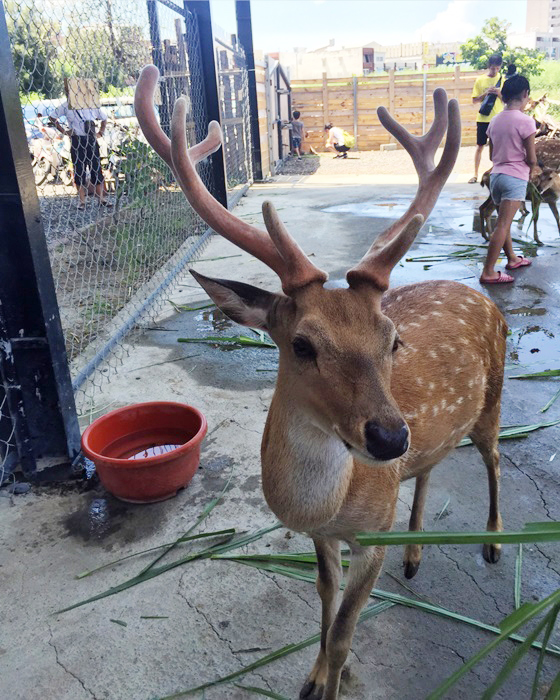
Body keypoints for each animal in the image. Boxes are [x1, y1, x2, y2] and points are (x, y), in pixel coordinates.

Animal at [136, 65, 508, 700]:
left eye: (392, 340)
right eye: (302, 345)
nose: (389, 438)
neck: (326, 506)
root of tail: (483, 299)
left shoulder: (371, 537)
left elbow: (342, 634)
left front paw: (329, 679)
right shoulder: (323, 535)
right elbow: (324, 600)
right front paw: (312, 678)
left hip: (495, 398)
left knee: (493, 457)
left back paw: (492, 541)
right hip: (438, 439)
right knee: (431, 465)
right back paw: (415, 553)